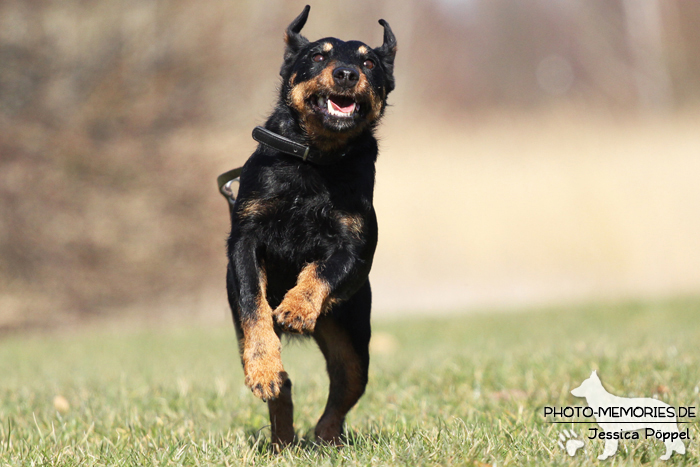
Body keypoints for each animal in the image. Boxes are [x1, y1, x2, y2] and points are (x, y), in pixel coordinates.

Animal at [224, 4, 394, 450]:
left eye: (369, 62)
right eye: (318, 55)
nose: (347, 74)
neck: (316, 159)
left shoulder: (356, 246)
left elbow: (322, 269)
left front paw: (298, 307)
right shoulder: (245, 238)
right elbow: (254, 306)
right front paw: (263, 367)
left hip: (352, 341)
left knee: (345, 389)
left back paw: (325, 439)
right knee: (284, 386)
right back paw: (282, 436)